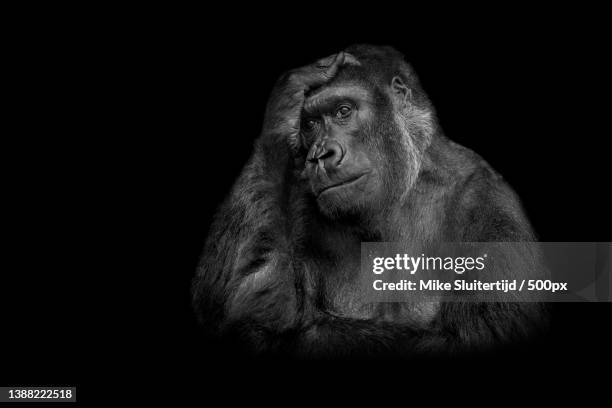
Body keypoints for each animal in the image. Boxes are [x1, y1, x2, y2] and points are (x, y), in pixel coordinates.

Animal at [194, 44, 548, 356]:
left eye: (344, 111)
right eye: (309, 124)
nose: (321, 155)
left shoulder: (491, 203)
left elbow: (476, 335)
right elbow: (253, 307)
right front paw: (282, 115)